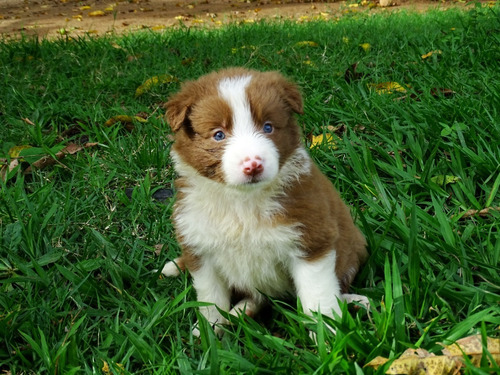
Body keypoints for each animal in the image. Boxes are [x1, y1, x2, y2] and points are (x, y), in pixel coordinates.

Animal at [162, 67, 370, 334]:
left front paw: (329, 333)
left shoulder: (311, 241)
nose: (253, 165)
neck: (241, 202)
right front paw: (209, 330)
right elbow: (210, 298)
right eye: (218, 135)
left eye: (268, 127)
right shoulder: (200, 246)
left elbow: (317, 296)